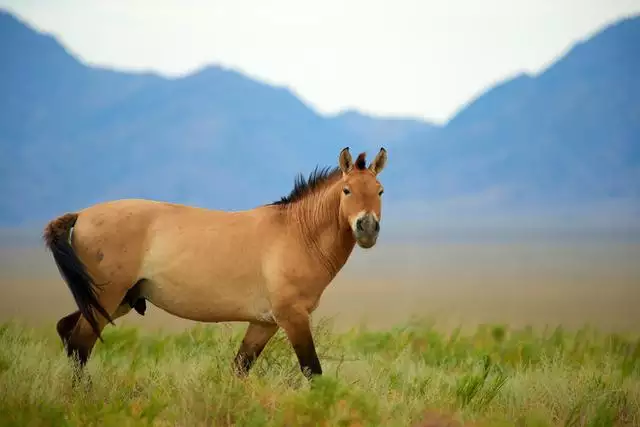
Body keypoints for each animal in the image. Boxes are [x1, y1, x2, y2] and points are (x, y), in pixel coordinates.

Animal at [45, 147, 388, 382]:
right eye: (346, 190)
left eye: (380, 191)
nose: (367, 228)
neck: (296, 231)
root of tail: (81, 215)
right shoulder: (293, 318)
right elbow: (312, 372)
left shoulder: (264, 323)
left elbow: (240, 368)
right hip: (107, 298)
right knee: (80, 345)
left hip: (115, 301)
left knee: (67, 332)